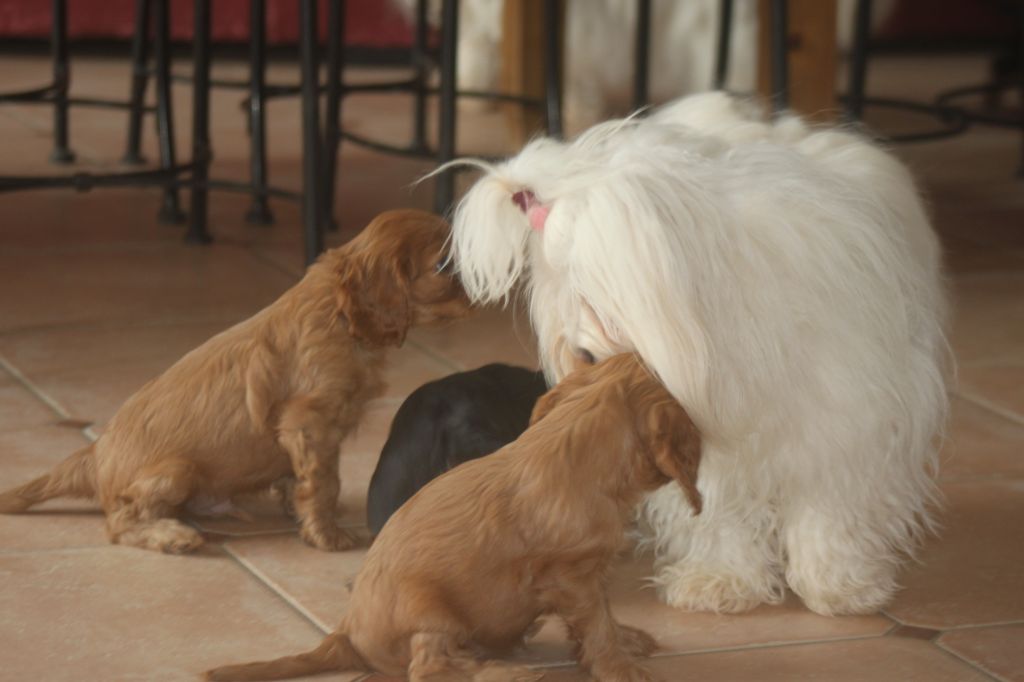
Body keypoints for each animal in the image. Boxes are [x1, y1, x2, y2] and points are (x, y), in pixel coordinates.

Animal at [0, 208, 468, 552]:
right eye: (445, 263)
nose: (480, 287)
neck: (337, 314)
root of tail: (94, 455)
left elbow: (297, 479)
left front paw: (297, 511)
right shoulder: (309, 423)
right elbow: (324, 482)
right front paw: (327, 534)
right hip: (177, 471)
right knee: (119, 520)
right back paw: (173, 535)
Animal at [450, 91, 950, 614]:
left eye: (597, 295)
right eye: (561, 297)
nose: (581, 355)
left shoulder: (842, 418)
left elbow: (828, 504)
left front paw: (837, 584)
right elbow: (716, 507)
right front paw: (721, 579)